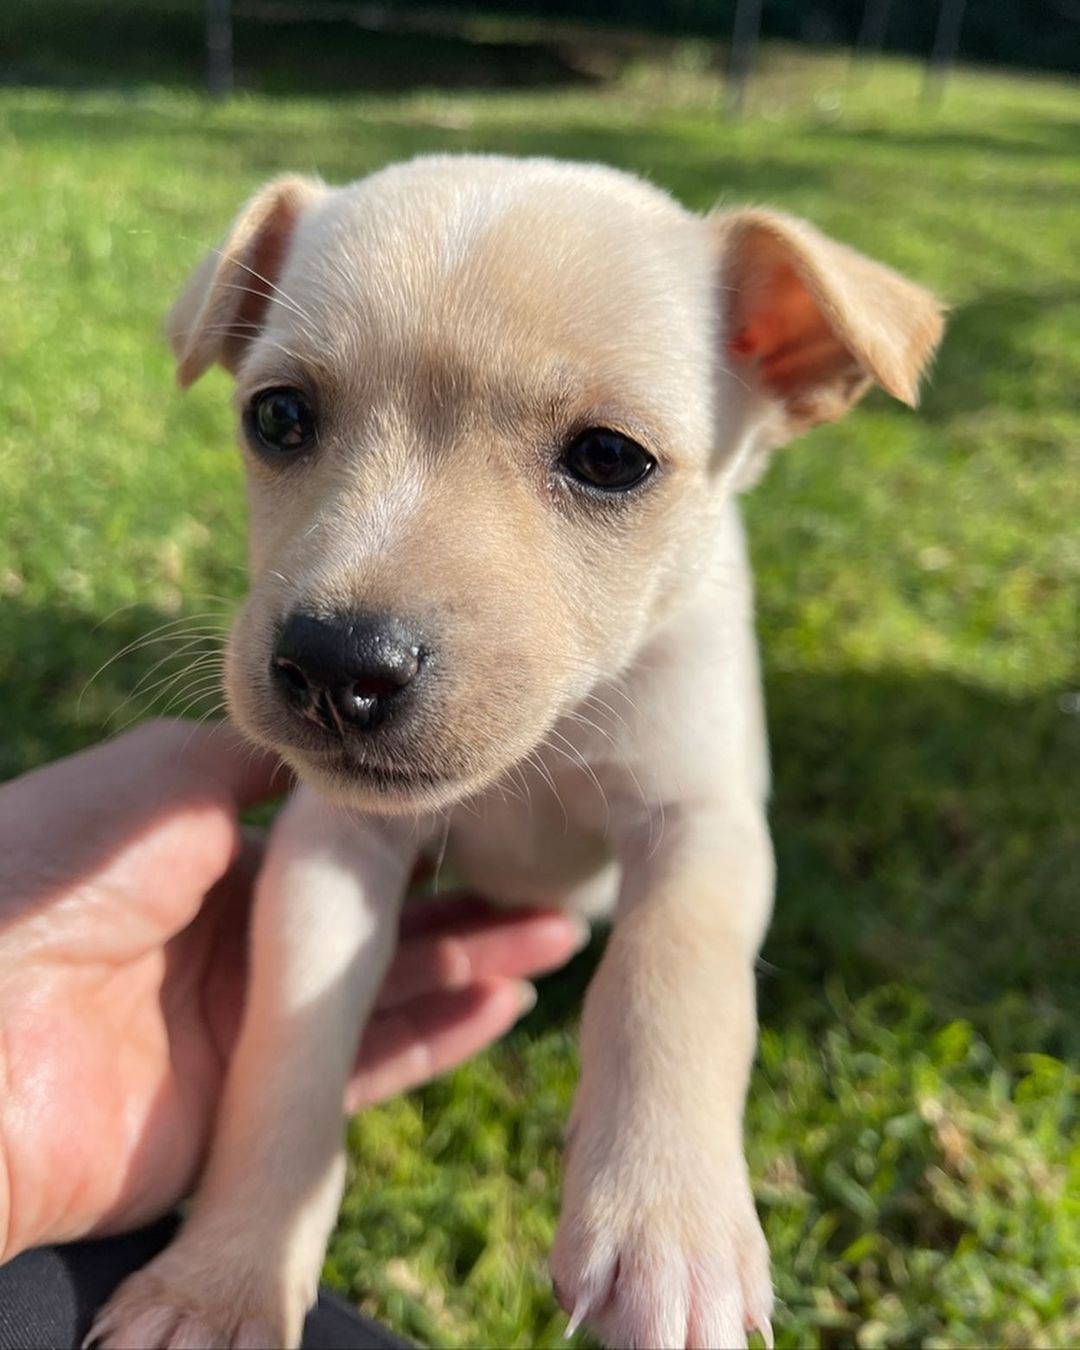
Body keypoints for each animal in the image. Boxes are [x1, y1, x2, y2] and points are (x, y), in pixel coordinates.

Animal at [86, 160, 945, 1350]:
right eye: (279, 416)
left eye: (610, 459)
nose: (335, 666)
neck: (550, 737)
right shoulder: (329, 851)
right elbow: (284, 1054)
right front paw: (219, 1282)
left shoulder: (703, 821)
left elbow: (671, 979)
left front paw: (667, 1225)